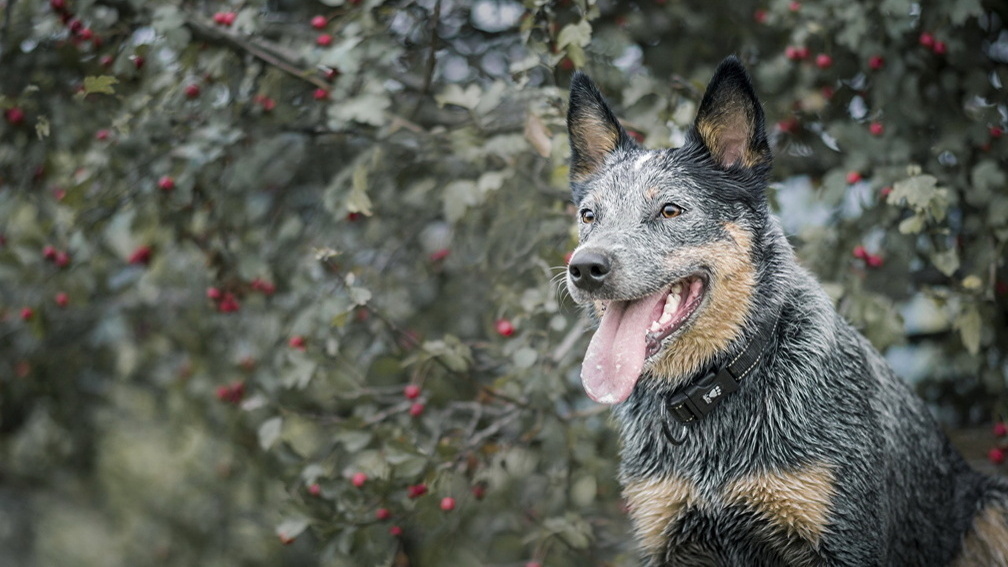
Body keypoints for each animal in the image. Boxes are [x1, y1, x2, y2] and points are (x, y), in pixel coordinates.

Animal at [564, 55, 1008, 560]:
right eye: (589, 215)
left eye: (671, 210)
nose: (585, 267)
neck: (717, 390)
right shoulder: (670, 537)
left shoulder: (840, 540)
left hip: (993, 504)